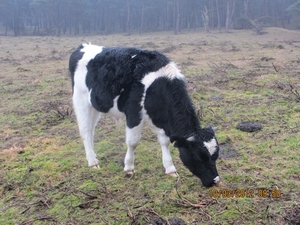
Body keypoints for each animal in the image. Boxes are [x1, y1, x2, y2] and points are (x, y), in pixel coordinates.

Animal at [68, 43, 220, 186]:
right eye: (199, 158)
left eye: (215, 156)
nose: (216, 181)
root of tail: (84, 46)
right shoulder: (133, 115)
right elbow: (133, 142)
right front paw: (129, 168)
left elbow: (165, 142)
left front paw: (170, 169)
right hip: (81, 101)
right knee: (85, 131)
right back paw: (92, 162)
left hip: (96, 106)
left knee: (91, 131)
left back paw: (94, 157)